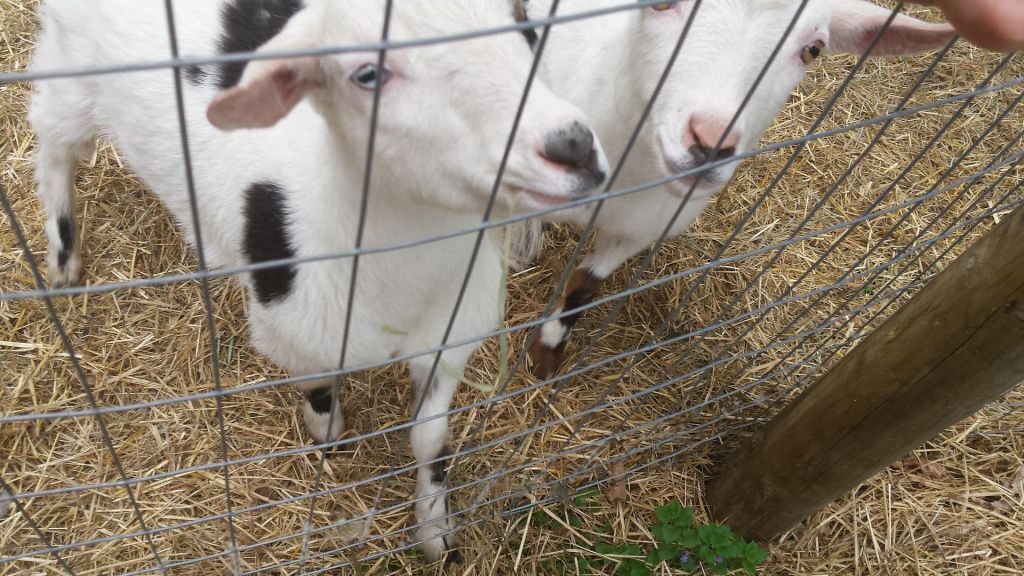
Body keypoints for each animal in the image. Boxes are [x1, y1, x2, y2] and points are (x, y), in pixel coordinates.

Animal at [29, 0, 608, 561]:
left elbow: (430, 439)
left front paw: (435, 533)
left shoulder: (450, 334)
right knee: (52, 139)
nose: (573, 148)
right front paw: (327, 435)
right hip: (71, 68)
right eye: (367, 74)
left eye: (524, 18)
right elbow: (318, 383)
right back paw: (62, 257)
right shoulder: (298, 328)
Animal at [518, 0, 956, 378]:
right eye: (660, 3)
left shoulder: (639, 229)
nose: (711, 143)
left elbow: (585, 287)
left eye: (812, 49)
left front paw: (547, 352)